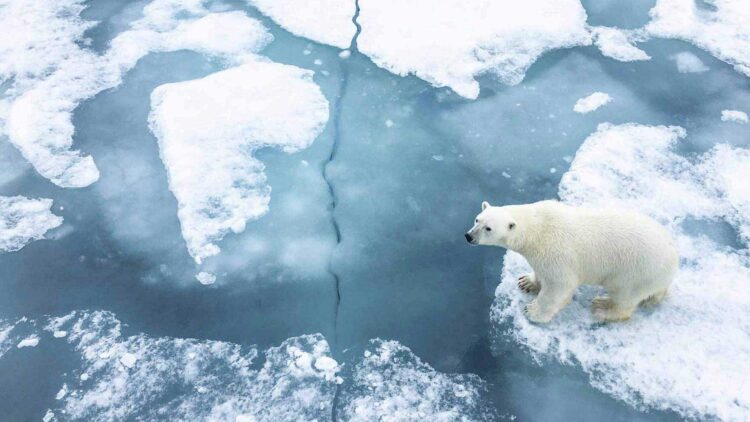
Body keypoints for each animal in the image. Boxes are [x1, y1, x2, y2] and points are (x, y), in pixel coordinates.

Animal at [465, 200, 678, 323]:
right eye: (477, 219)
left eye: (489, 228)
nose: (469, 236)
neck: (537, 228)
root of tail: (674, 260)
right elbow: (540, 273)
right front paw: (527, 282)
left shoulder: (557, 254)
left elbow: (559, 287)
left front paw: (532, 312)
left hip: (637, 272)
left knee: (624, 298)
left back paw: (602, 307)